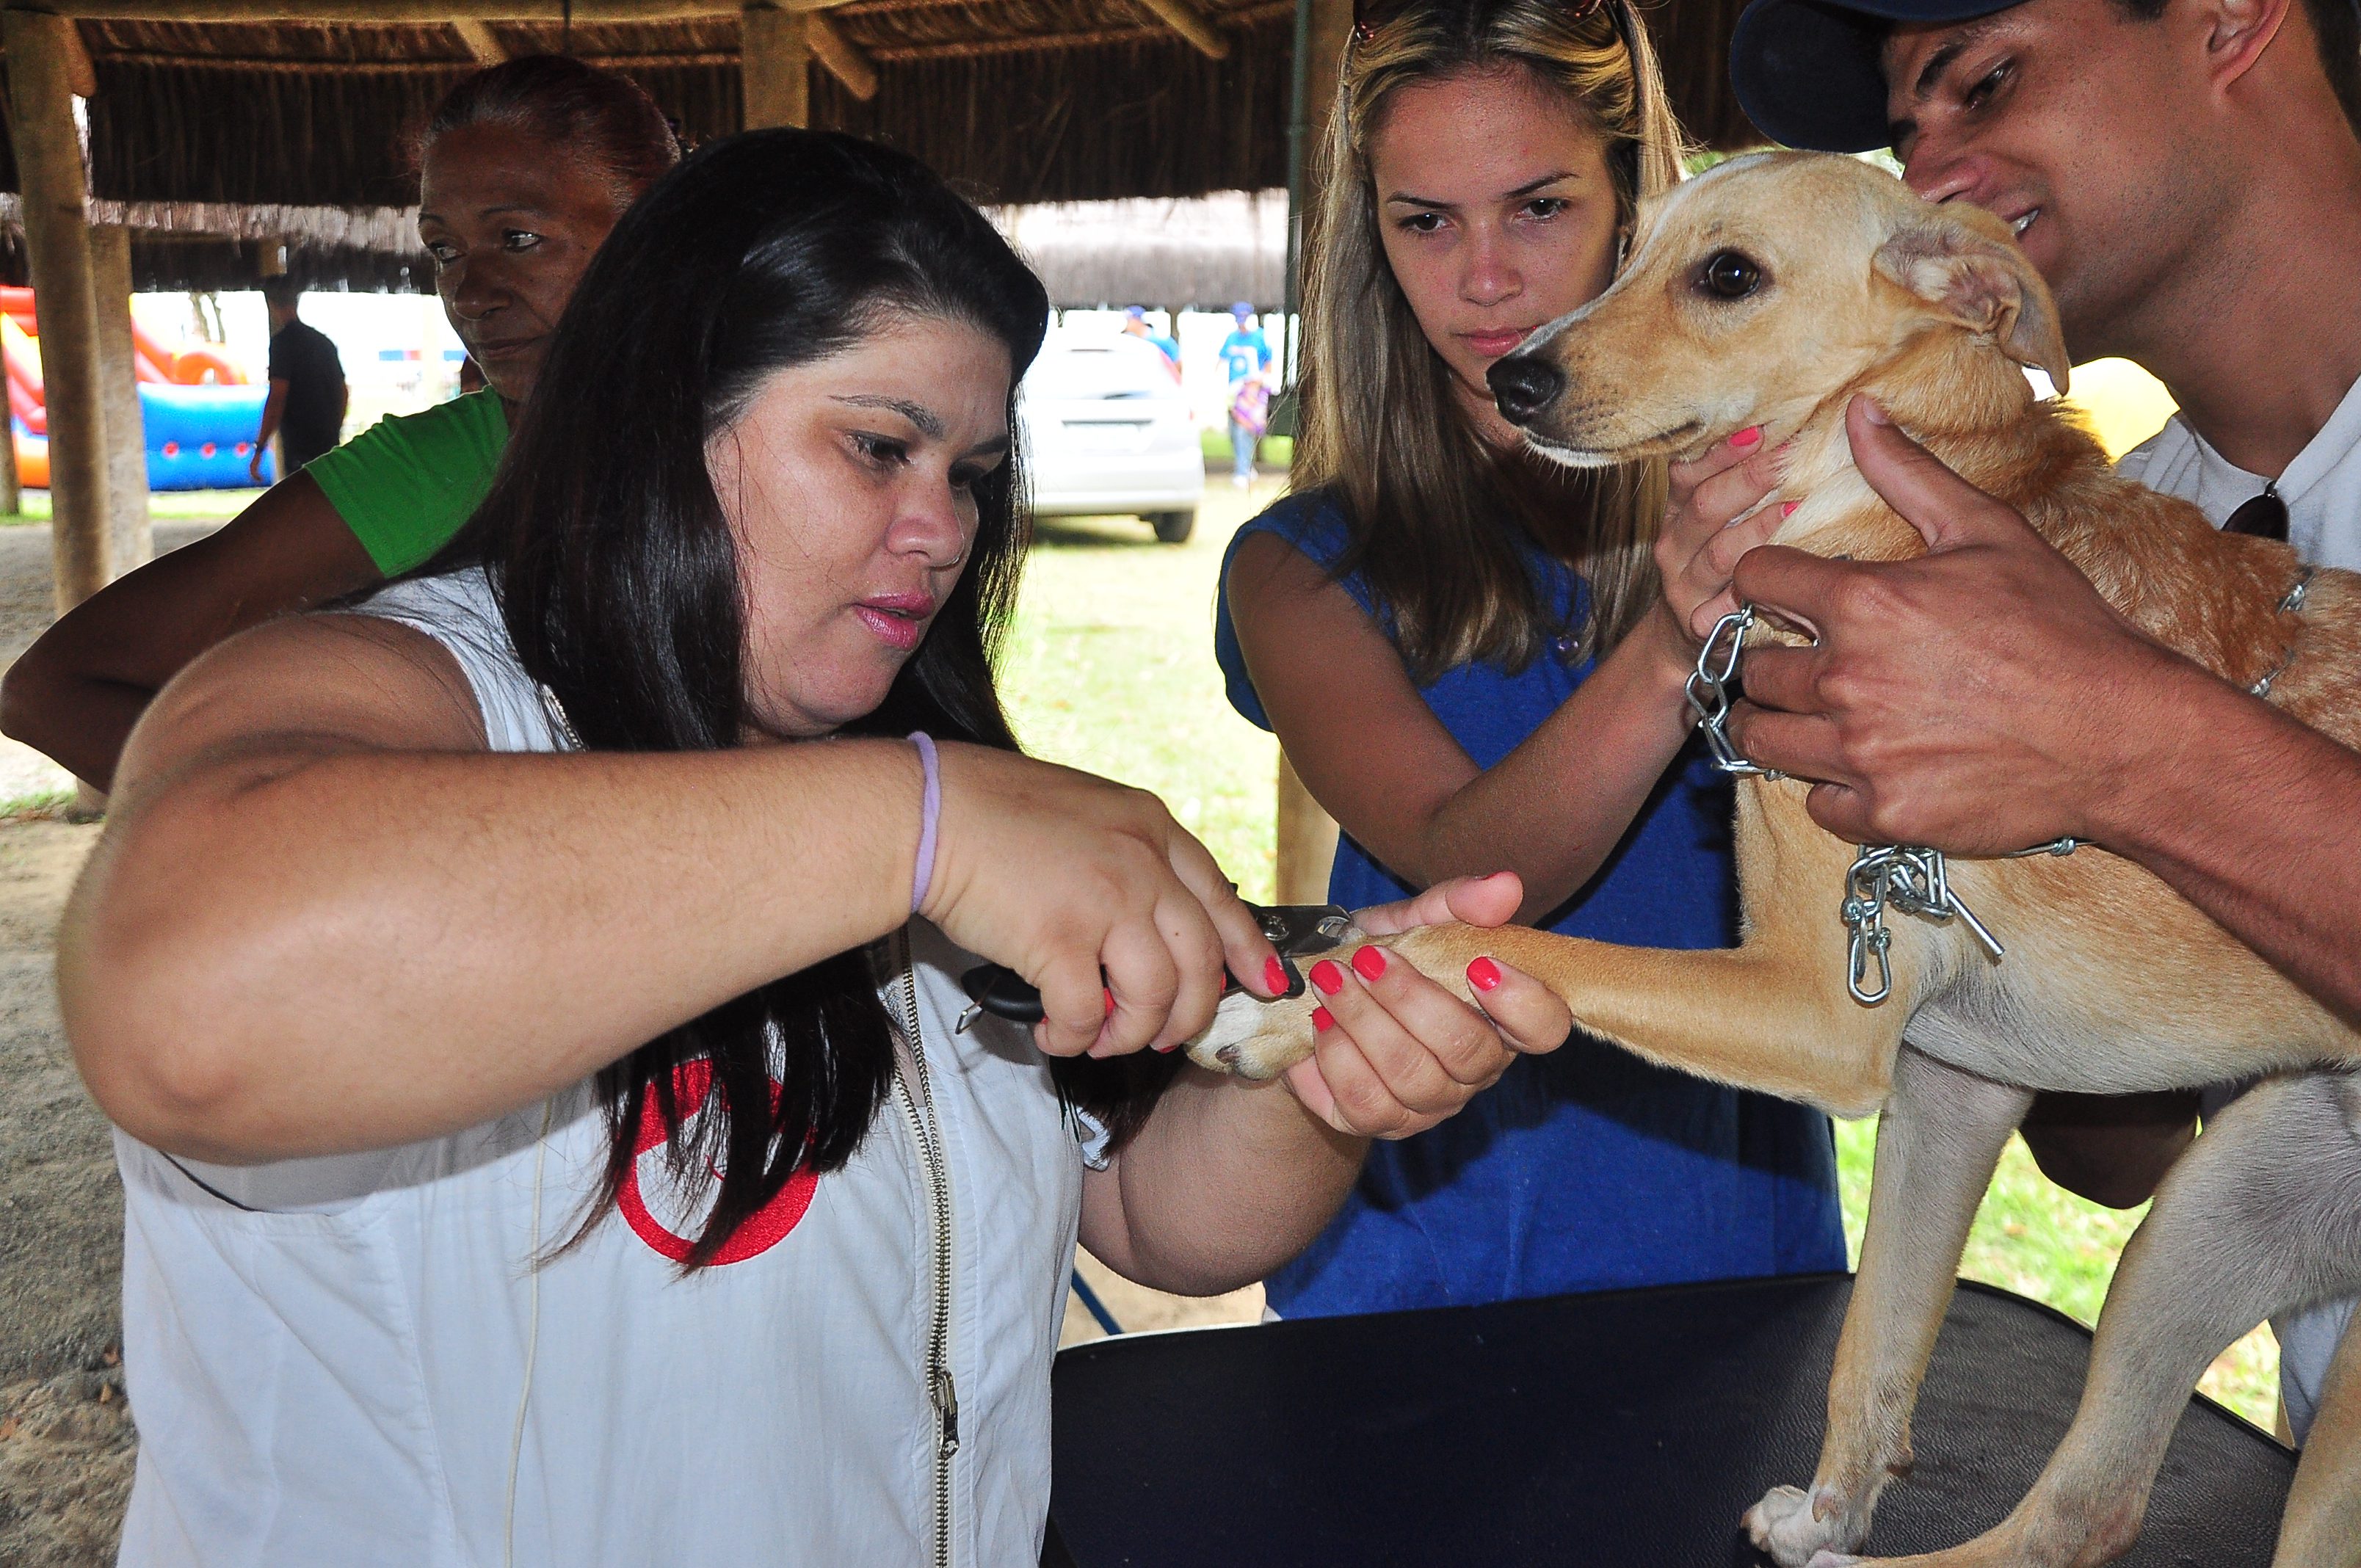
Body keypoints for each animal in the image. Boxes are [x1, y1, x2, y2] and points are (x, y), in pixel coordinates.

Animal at [1199, 156, 2361, 1568]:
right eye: (1629, 250)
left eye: (1730, 275)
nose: (1512, 380)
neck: (1873, 497)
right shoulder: (1947, 1087)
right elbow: (1872, 1345)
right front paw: (1828, 1513)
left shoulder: (1819, 1009)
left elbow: (1494, 937)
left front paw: (1300, 1008)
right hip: (2210, 1219)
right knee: (2078, 1511)